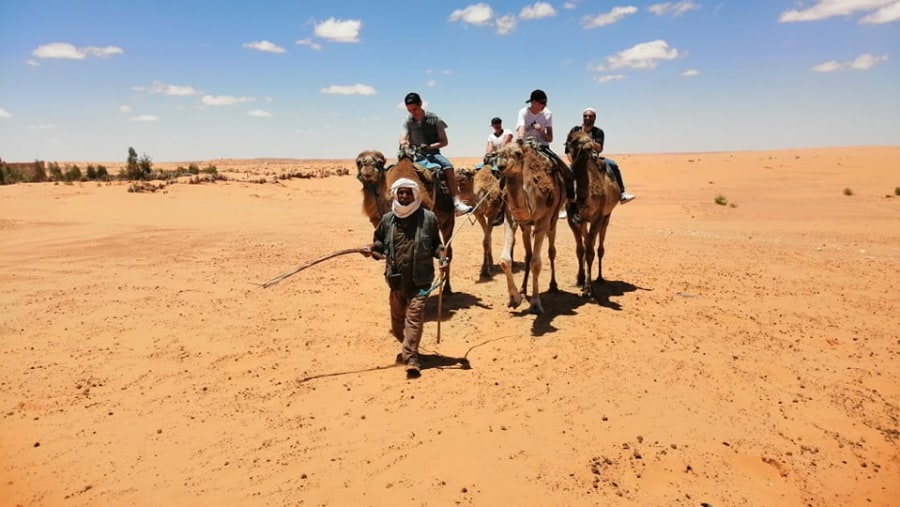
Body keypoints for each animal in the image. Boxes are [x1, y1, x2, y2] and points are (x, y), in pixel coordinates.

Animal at [356, 146, 458, 294]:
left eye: (380, 161)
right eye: (358, 162)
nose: (368, 165)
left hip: (448, 220)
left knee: (448, 251)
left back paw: (447, 289)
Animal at [492, 141, 564, 316]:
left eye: (518, 153)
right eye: (497, 153)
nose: (501, 165)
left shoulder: (542, 222)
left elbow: (536, 263)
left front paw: (536, 303)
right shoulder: (510, 218)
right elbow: (505, 260)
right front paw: (514, 299)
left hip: (553, 220)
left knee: (551, 251)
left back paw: (553, 285)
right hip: (525, 226)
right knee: (527, 255)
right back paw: (524, 288)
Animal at [568, 131, 624, 298]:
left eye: (591, 139)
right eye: (574, 140)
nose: (589, 147)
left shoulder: (597, 217)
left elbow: (590, 252)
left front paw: (588, 289)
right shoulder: (572, 219)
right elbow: (580, 250)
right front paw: (580, 280)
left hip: (607, 215)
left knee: (599, 248)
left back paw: (599, 278)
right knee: (588, 243)